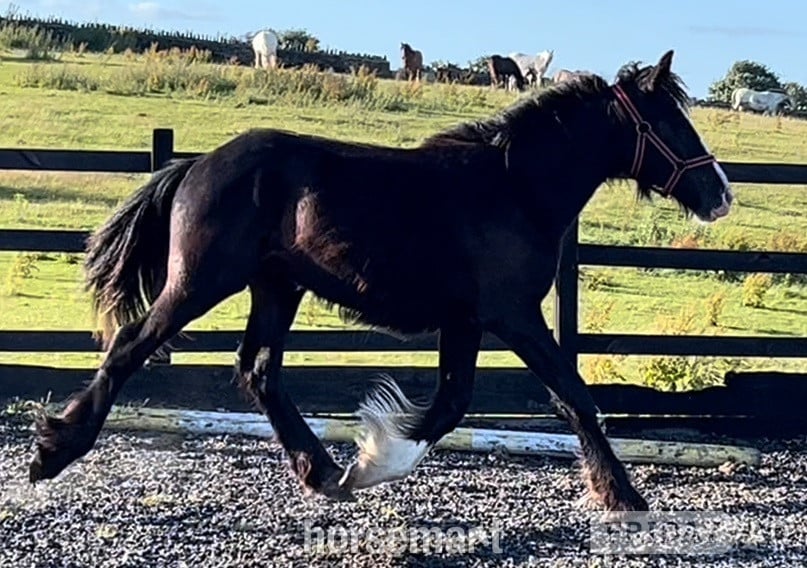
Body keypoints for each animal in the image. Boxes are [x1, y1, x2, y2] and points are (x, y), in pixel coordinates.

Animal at [29, 50, 733, 514]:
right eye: (669, 124)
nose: (720, 194)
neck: (514, 186)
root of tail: (197, 164)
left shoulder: (466, 321)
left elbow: (451, 405)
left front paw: (367, 462)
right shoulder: (513, 316)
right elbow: (574, 398)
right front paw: (623, 495)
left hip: (277, 287)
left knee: (258, 370)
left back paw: (321, 471)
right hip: (200, 283)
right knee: (129, 347)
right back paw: (53, 451)